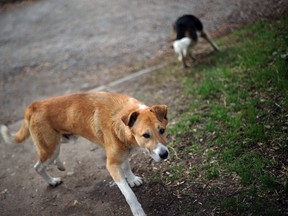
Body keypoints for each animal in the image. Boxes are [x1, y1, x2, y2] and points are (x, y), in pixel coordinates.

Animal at [1, 92, 169, 216]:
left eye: (162, 130)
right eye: (145, 135)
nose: (165, 154)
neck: (119, 118)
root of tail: (33, 106)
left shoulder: (122, 153)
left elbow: (127, 166)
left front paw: (132, 179)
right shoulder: (112, 164)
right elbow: (129, 194)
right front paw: (138, 210)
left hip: (61, 141)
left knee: (48, 159)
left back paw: (59, 165)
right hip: (50, 148)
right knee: (38, 166)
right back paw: (52, 181)